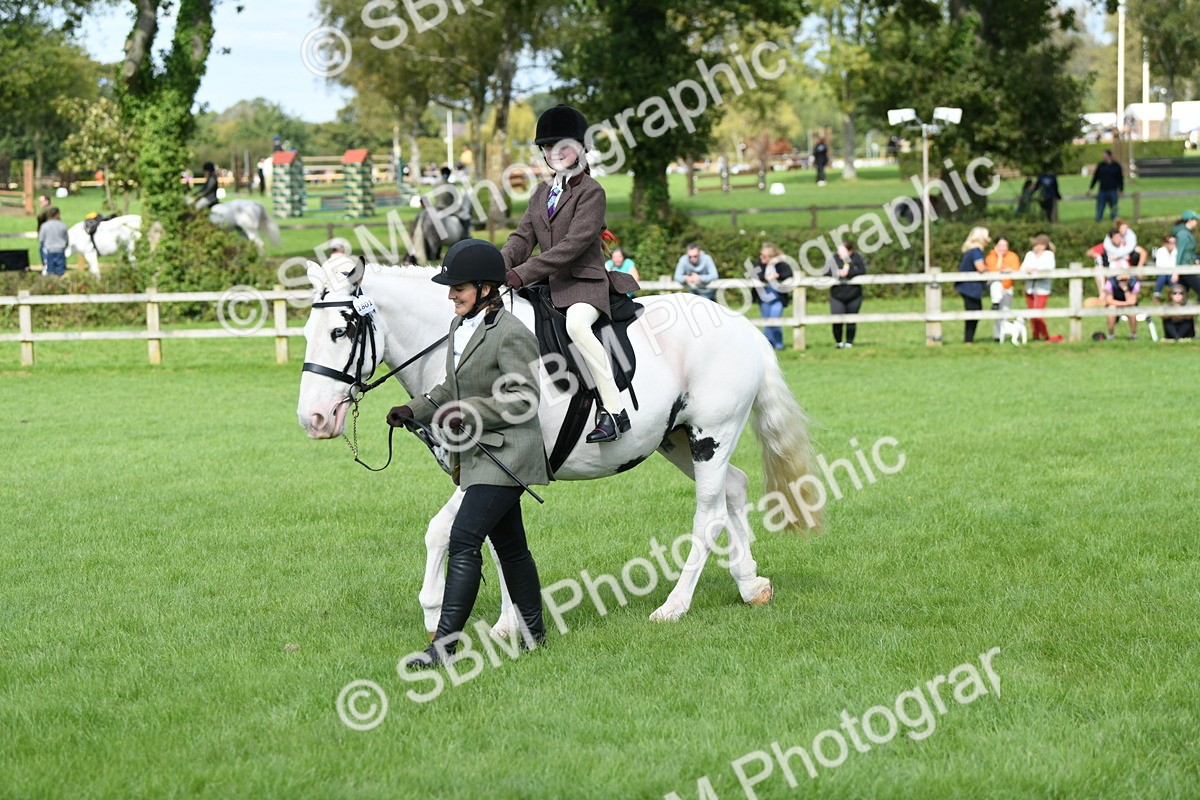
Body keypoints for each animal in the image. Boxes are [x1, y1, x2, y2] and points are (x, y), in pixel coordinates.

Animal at [296, 256, 818, 638]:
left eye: (341, 331)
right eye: (307, 333)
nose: (313, 419)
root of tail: (742, 326)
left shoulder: (498, 470)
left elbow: (448, 531)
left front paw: (436, 611)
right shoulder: (492, 473)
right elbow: (486, 539)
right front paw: (505, 623)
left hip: (713, 434)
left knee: (708, 514)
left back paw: (674, 606)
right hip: (678, 440)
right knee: (735, 487)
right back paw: (749, 584)